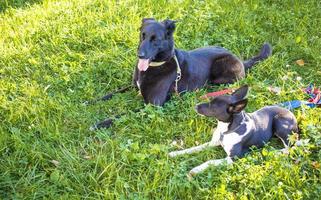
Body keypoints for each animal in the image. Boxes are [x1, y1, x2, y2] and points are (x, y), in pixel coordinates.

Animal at [169, 85, 298, 177]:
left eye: (212, 106)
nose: (195, 106)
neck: (226, 129)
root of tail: (291, 114)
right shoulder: (212, 143)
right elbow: (194, 148)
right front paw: (176, 153)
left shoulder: (232, 158)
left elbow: (210, 161)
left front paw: (196, 169)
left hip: (279, 122)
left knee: (290, 147)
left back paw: (276, 152)